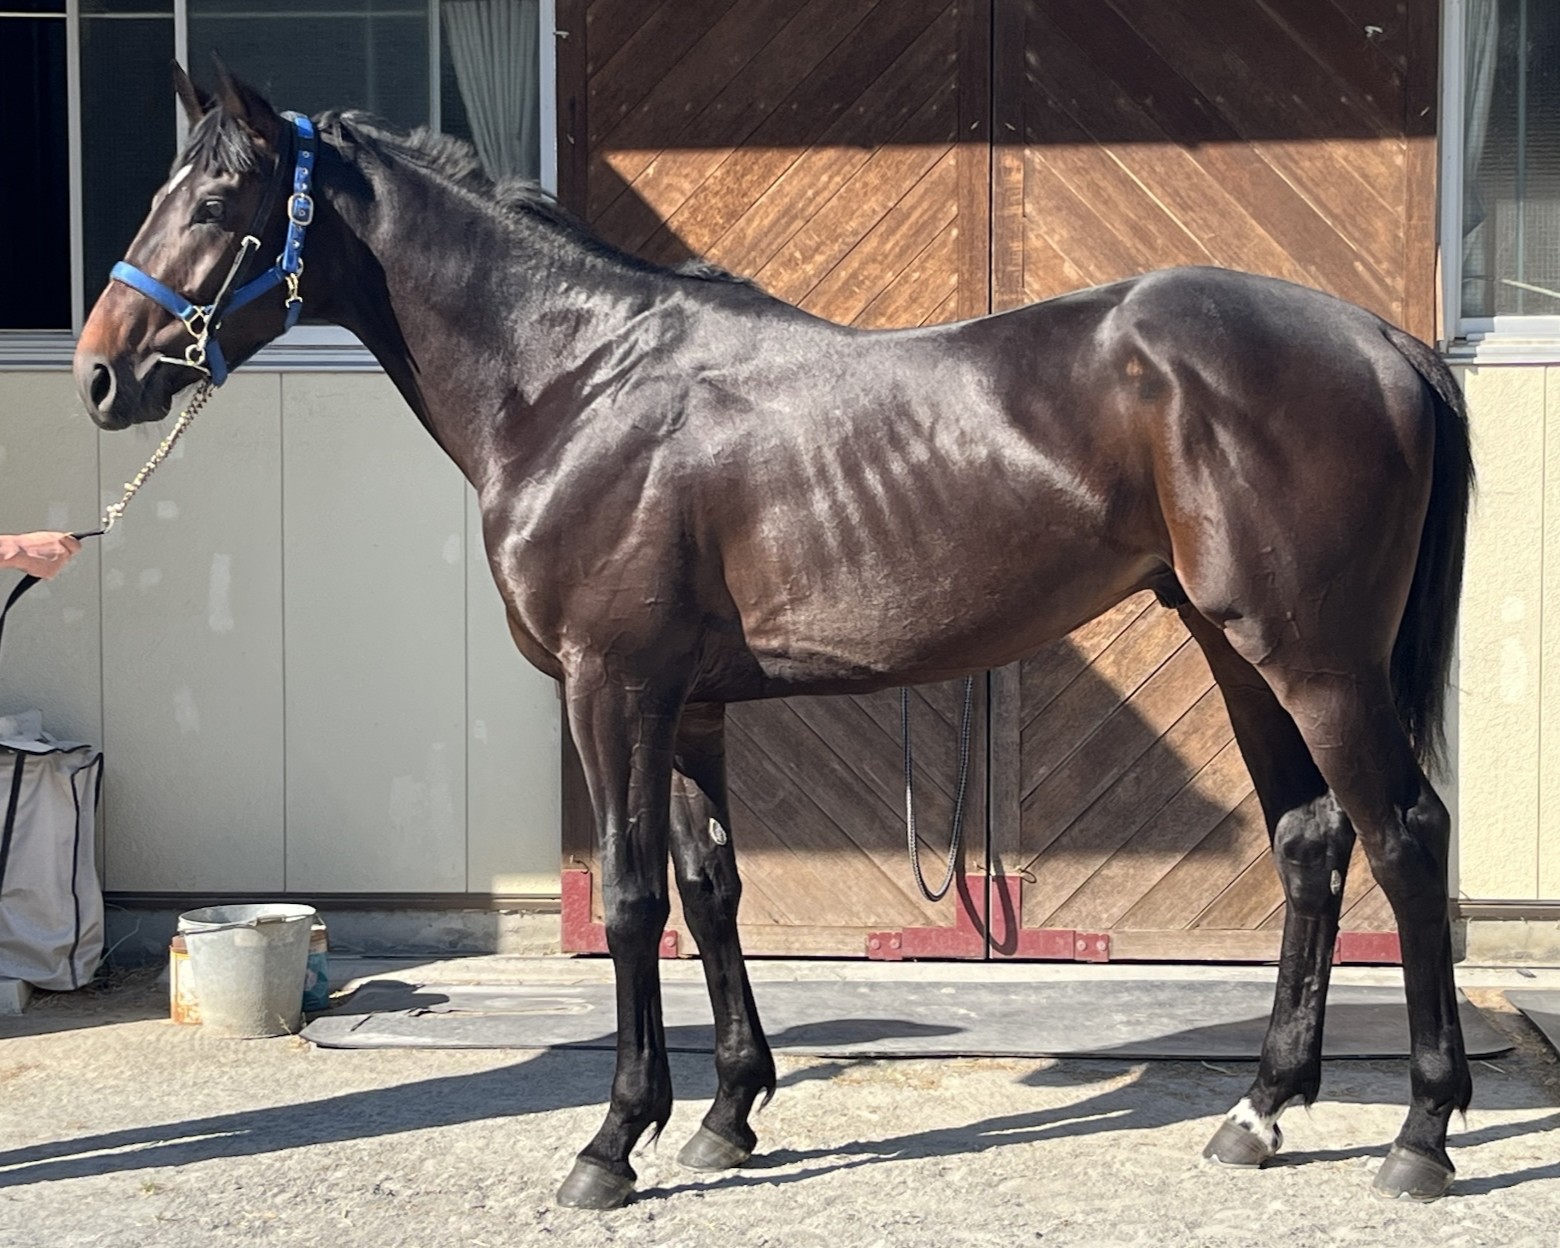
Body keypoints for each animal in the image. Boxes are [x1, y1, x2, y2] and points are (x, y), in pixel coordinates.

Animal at [75, 65, 1474, 1209]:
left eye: (219, 200)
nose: (100, 375)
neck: (577, 383)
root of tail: (1384, 340)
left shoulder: (613, 690)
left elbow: (633, 899)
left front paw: (612, 1143)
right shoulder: (686, 704)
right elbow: (709, 888)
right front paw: (728, 1116)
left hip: (1315, 661)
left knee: (1405, 837)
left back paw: (1422, 1132)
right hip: (1241, 654)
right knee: (1310, 845)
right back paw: (1261, 1111)